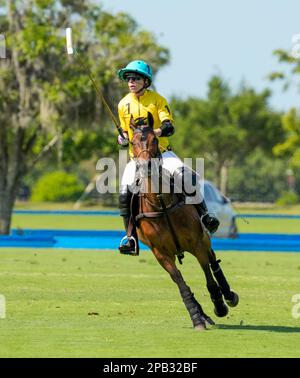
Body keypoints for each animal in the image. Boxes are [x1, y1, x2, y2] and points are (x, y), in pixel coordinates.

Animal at [127, 122, 238, 330]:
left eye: (155, 139)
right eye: (132, 142)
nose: (145, 166)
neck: (161, 202)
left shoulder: (197, 242)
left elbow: (209, 278)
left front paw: (219, 306)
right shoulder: (160, 253)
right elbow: (181, 283)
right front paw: (197, 317)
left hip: (204, 237)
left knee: (213, 262)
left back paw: (228, 296)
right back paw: (204, 315)